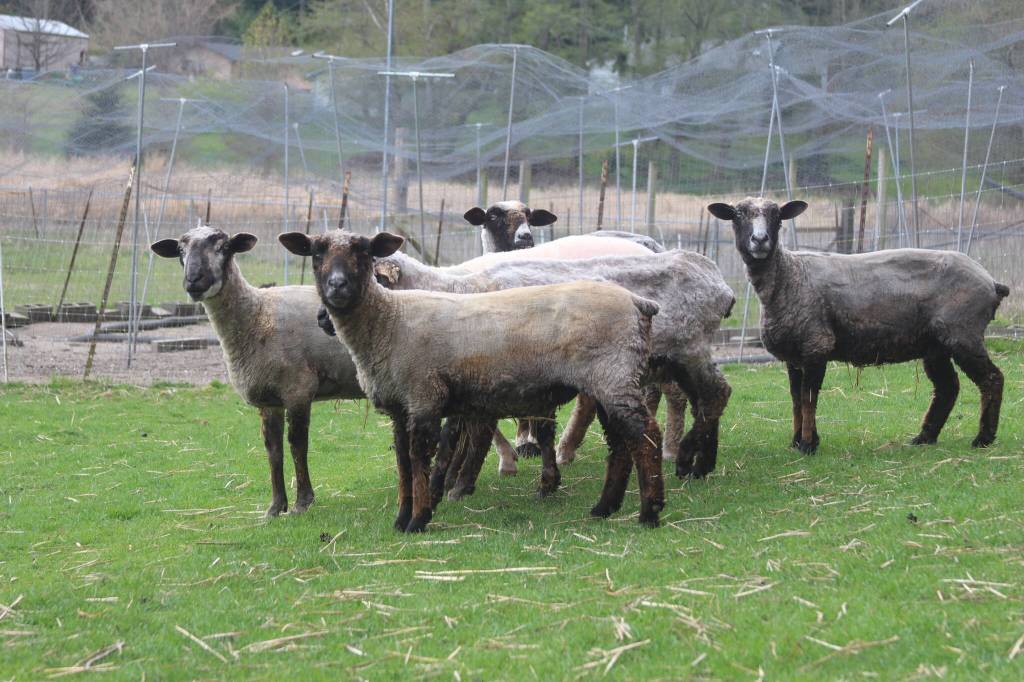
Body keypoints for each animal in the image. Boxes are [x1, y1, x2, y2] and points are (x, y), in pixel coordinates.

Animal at [151, 225, 364, 517]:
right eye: (180, 251)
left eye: (224, 248)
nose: (194, 280)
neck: (256, 314)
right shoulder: (268, 398)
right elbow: (273, 450)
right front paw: (275, 508)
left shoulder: (298, 389)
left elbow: (297, 444)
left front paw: (302, 502)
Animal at [279, 229, 666, 532]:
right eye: (316, 252)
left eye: (364, 252)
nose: (337, 287)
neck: (389, 320)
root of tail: (638, 302)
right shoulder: (399, 407)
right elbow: (403, 464)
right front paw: (402, 518)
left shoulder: (424, 395)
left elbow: (420, 460)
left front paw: (419, 519)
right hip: (607, 380)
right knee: (621, 442)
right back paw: (605, 508)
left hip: (614, 374)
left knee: (645, 435)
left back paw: (649, 512)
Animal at [362, 247, 735, 493]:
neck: (455, 290)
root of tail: (718, 281)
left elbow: (478, 430)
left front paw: (464, 478)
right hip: (673, 359)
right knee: (706, 399)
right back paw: (703, 461)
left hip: (688, 348)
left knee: (716, 394)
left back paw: (688, 459)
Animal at [707, 197, 1009, 452]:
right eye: (737, 215)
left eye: (777, 216)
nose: (760, 240)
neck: (788, 276)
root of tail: (992, 282)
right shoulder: (794, 355)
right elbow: (795, 399)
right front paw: (796, 440)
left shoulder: (816, 344)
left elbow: (808, 398)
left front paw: (808, 444)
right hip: (936, 344)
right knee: (948, 388)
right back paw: (924, 437)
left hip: (963, 332)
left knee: (992, 379)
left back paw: (983, 438)